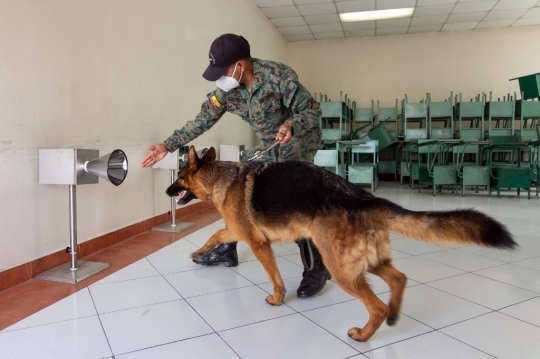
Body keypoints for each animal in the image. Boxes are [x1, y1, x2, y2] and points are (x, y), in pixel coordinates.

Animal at [166, 147, 516, 344]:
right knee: (399, 279)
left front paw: (277, 298)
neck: (221, 177)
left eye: (179, 176)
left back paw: (364, 333)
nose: (167, 191)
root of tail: (365, 199)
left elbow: (273, 276)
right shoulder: (236, 230)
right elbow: (216, 235)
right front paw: (202, 252)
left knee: (376, 305)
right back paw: (393, 315)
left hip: (341, 268)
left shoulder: (257, 242)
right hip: (364, 262)